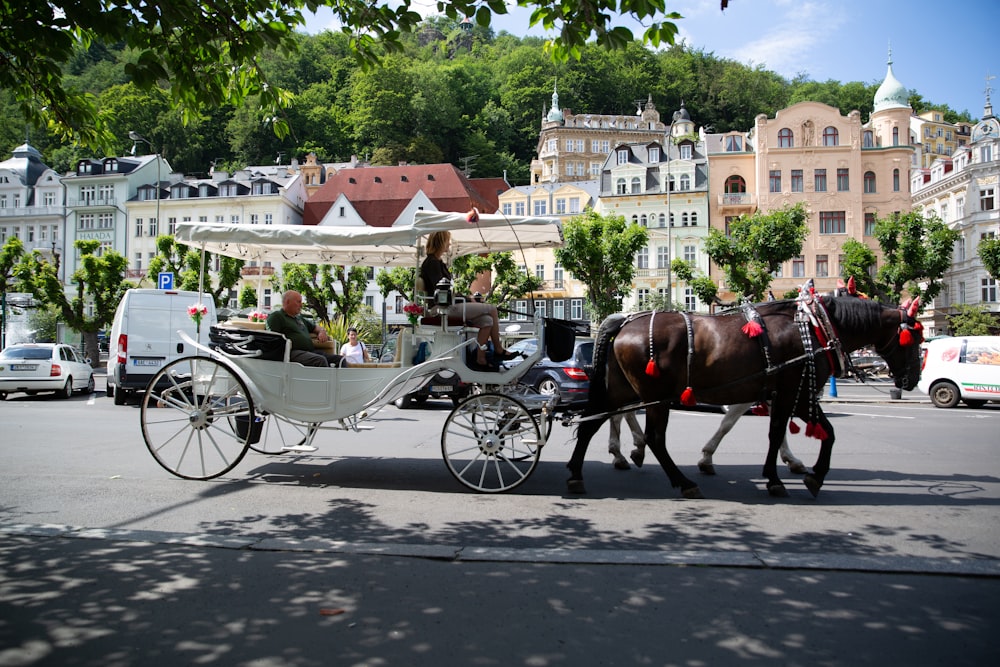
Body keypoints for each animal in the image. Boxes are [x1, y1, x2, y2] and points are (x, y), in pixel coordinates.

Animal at [568, 294, 924, 498]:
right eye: (914, 338)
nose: (911, 380)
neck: (812, 327)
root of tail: (625, 321)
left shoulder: (786, 393)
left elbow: (803, 431)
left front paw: (803, 473)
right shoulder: (794, 390)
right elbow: (786, 432)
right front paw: (788, 477)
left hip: (620, 388)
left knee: (593, 423)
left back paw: (579, 472)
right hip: (656, 395)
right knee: (652, 436)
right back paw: (679, 480)